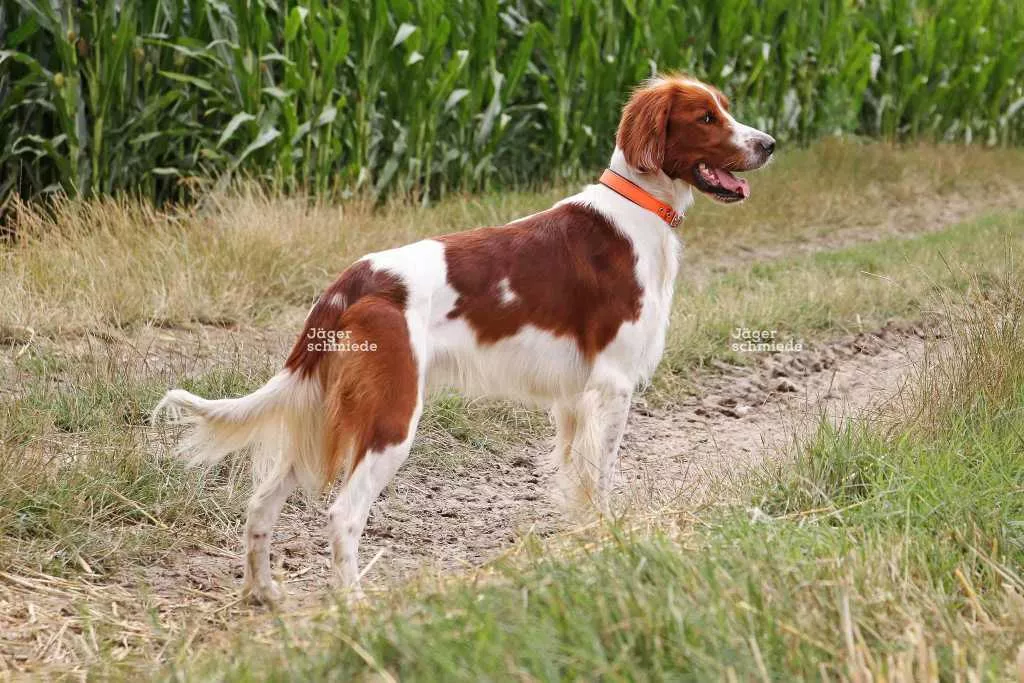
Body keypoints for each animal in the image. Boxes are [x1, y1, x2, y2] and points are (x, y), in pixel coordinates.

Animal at [153, 74, 774, 602]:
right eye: (706, 117)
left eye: (725, 108)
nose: (769, 143)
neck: (635, 210)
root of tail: (351, 283)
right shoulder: (613, 386)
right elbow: (600, 479)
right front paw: (608, 541)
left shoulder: (575, 400)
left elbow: (575, 479)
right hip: (392, 418)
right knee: (342, 514)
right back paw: (353, 605)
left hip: (324, 413)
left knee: (261, 503)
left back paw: (262, 594)